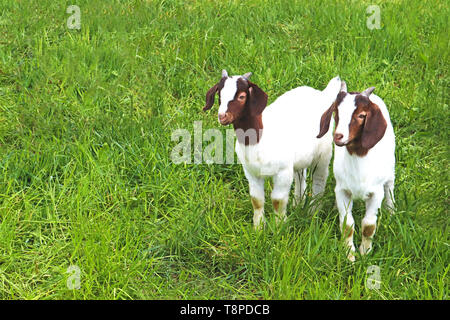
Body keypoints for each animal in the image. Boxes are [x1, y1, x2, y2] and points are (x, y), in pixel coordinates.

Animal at [202, 71, 340, 229]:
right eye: (220, 95)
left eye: (242, 96)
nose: (222, 116)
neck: (258, 141)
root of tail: (323, 94)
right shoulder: (251, 172)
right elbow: (256, 200)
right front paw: (258, 227)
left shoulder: (283, 171)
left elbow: (277, 200)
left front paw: (280, 226)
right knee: (300, 175)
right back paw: (298, 203)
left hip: (323, 154)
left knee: (319, 178)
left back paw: (313, 211)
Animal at [314, 81, 396, 262]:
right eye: (336, 112)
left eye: (361, 115)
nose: (338, 136)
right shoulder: (342, 190)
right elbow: (347, 223)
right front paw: (349, 254)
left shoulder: (376, 192)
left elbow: (369, 225)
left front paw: (365, 252)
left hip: (390, 169)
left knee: (390, 186)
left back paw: (391, 211)